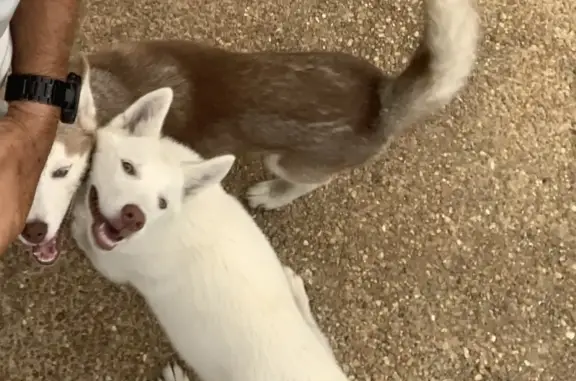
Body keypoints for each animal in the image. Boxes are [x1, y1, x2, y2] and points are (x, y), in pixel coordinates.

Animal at [71, 86, 352, 380]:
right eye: (127, 167)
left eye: (162, 203)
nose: (134, 217)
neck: (176, 217)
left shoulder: (112, 265)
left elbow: (85, 234)